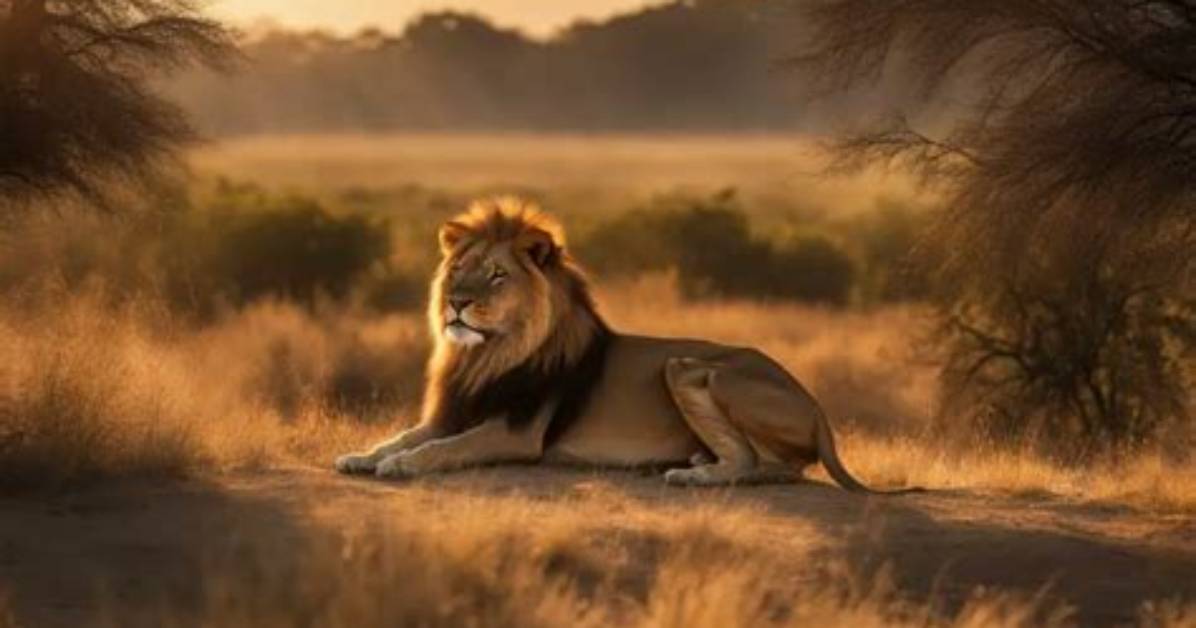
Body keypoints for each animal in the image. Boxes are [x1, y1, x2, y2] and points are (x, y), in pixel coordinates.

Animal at [335, 197, 917, 493]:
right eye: (459, 269)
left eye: (497, 275)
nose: (456, 302)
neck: (485, 355)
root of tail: (816, 407)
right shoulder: (453, 412)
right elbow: (400, 436)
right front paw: (361, 456)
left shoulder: (515, 431)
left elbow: (443, 449)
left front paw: (401, 466)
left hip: (692, 367)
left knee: (762, 464)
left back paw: (693, 473)